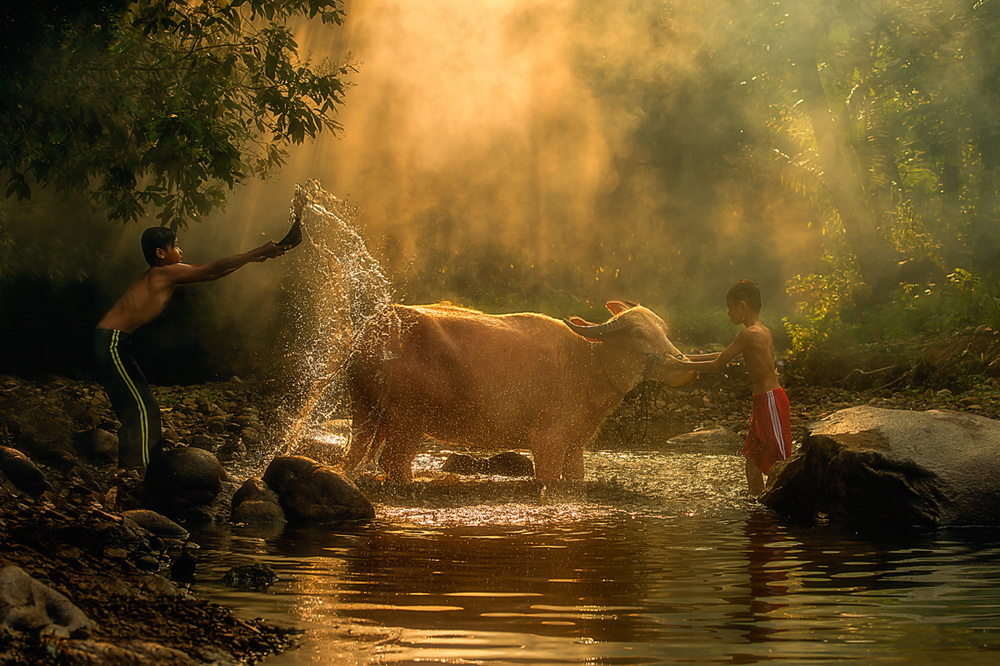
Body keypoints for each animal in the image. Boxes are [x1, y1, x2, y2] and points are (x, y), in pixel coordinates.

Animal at [346, 300, 696, 478]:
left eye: (662, 329)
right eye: (637, 333)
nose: (683, 365)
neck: (584, 364)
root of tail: (370, 333)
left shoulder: (575, 446)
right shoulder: (548, 442)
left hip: (371, 415)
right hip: (408, 420)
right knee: (395, 464)